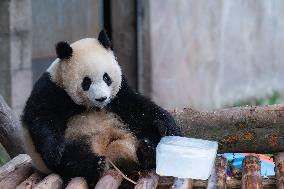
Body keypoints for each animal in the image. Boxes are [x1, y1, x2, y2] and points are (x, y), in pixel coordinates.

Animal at [21, 30, 180, 185]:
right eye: (86, 82)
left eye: (106, 77)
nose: (102, 98)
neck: (91, 106)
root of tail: (110, 150)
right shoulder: (52, 89)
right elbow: (42, 117)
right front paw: (54, 152)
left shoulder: (119, 93)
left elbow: (139, 106)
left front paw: (169, 126)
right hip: (75, 140)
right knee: (71, 159)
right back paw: (96, 165)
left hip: (129, 128)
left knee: (146, 131)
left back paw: (148, 151)